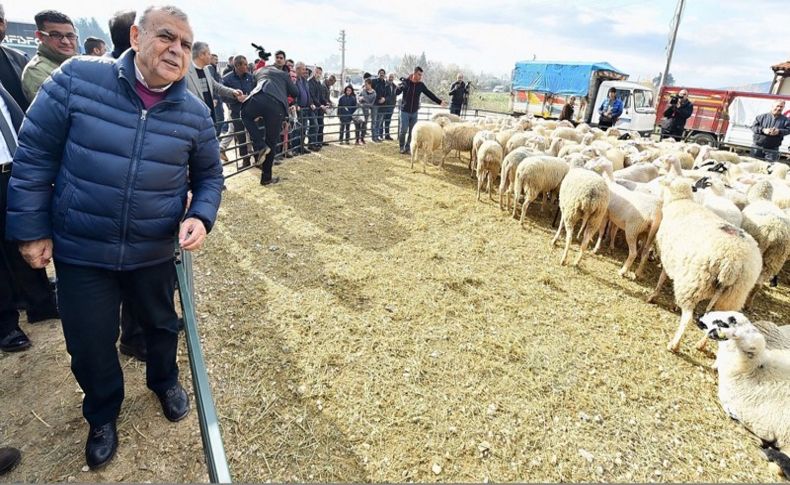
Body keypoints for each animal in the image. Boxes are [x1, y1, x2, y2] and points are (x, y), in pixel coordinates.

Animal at [648, 178, 764, 352]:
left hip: (694, 282)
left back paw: (674, 345)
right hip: (733, 295)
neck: (681, 201)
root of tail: (733, 263)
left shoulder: (669, 256)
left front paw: (653, 296)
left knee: (688, 317)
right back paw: (701, 344)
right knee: (724, 323)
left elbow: (662, 277)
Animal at [744, 180, 790, 308]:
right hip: (775, 258)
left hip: (760, 248)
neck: (762, 198)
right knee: (759, 281)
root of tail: (773, 232)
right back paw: (749, 303)